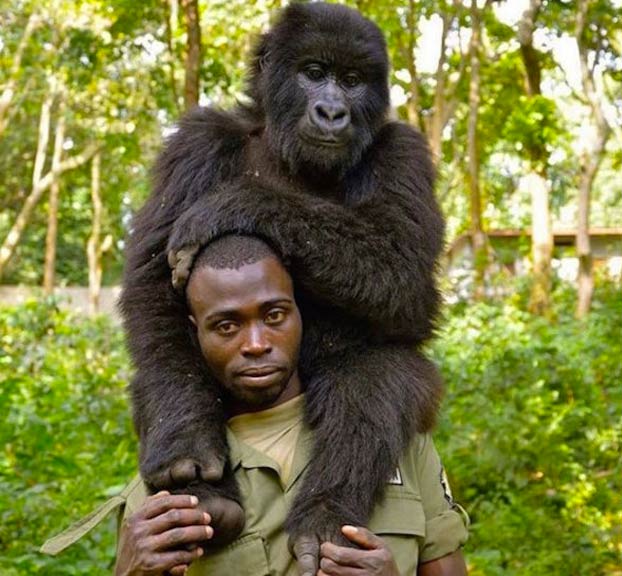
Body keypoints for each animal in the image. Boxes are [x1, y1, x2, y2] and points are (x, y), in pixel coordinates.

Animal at [119, 3, 446, 572]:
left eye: (353, 80)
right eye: (314, 72)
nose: (333, 112)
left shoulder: (403, 150)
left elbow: (405, 274)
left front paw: (239, 203)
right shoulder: (198, 139)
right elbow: (152, 281)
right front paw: (186, 439)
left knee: (375, 380)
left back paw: (325, 515)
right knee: (159, 371)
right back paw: (207, 493)